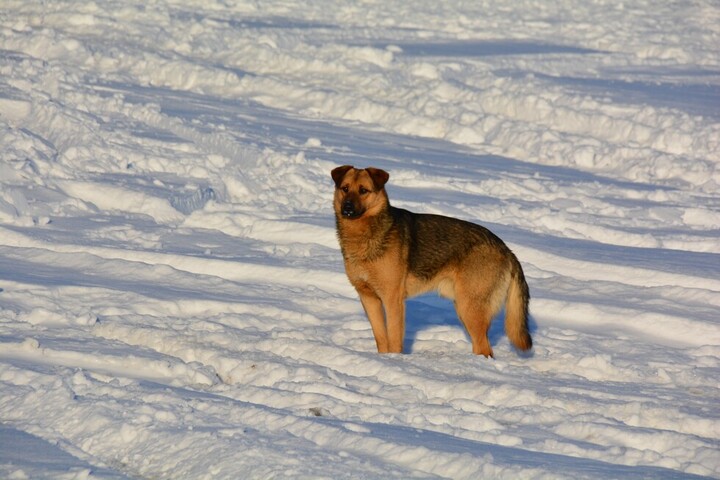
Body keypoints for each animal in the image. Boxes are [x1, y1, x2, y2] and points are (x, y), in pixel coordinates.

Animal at [330, 165, 528, 356]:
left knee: (485, 349)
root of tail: (506, 249)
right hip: (464, 308)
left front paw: (394, 361)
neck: (365, 234)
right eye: (345, 188)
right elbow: (381, 339)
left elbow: (394, 339)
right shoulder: (369, 298)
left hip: (470, 309)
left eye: (363, 190)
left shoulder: (392, 300)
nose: (347, 208)